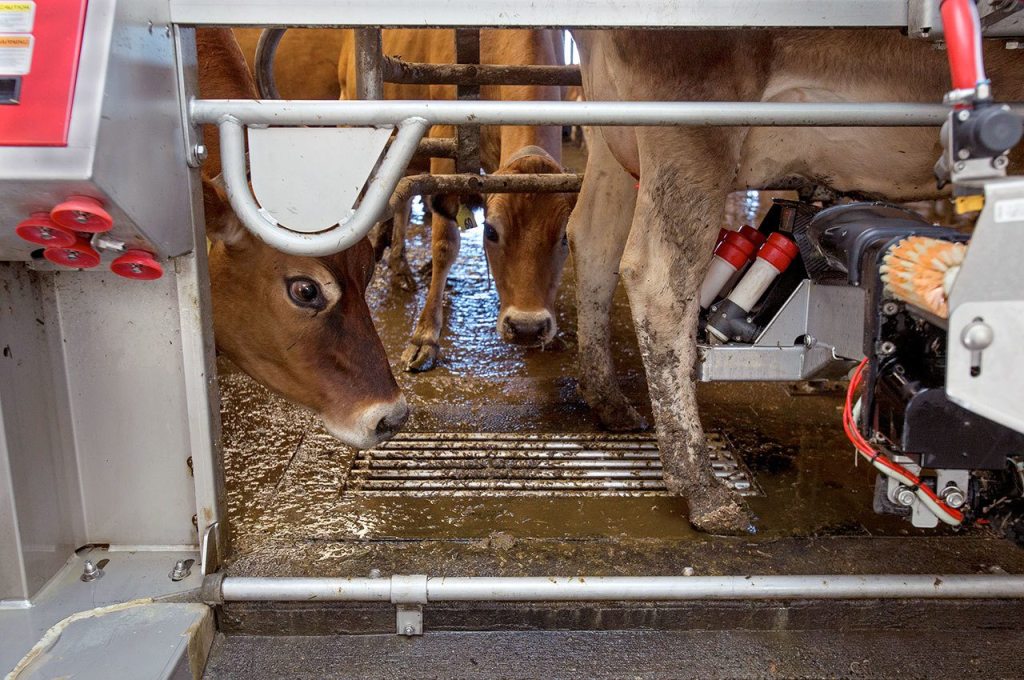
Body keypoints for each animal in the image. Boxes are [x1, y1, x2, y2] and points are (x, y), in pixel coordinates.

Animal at [568, 29, 1024, 533]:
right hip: (694, 115)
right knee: (660, 278)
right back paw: (702, 487)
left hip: (615, 132)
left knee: (594, 239)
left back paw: (608, 400)